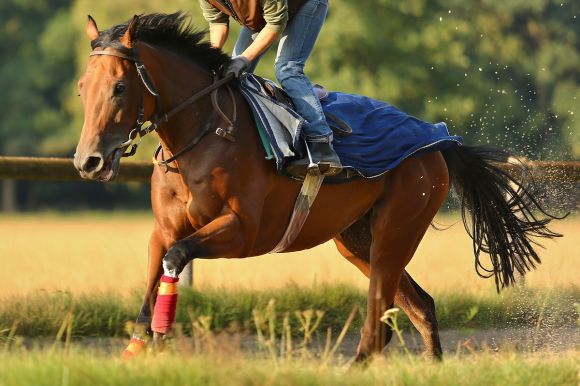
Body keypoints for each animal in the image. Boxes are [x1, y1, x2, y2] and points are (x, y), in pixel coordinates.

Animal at [72, 12, 560, 362]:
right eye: (81, 88)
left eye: (119, 87)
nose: (87, 161)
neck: (206, 132)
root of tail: (439, 140)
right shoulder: (164, 230)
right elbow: (154, 276)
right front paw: (137, 349)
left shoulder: (243, 231)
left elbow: (175, 260)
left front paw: (161, 337)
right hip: (356, 241)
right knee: (421, 307)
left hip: (397, 229)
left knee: (378, 325)